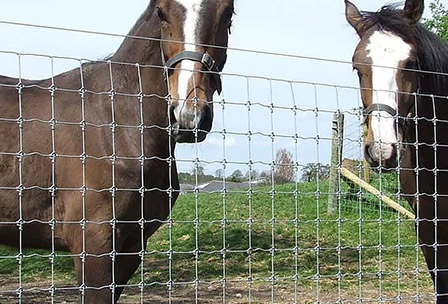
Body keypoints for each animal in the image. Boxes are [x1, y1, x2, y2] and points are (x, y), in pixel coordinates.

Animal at [0, 1, 234, 302]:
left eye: (227, 14)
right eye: (161, 12)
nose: (189, 116)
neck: (116, 124)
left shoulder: (131, 246)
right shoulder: (94, 245)